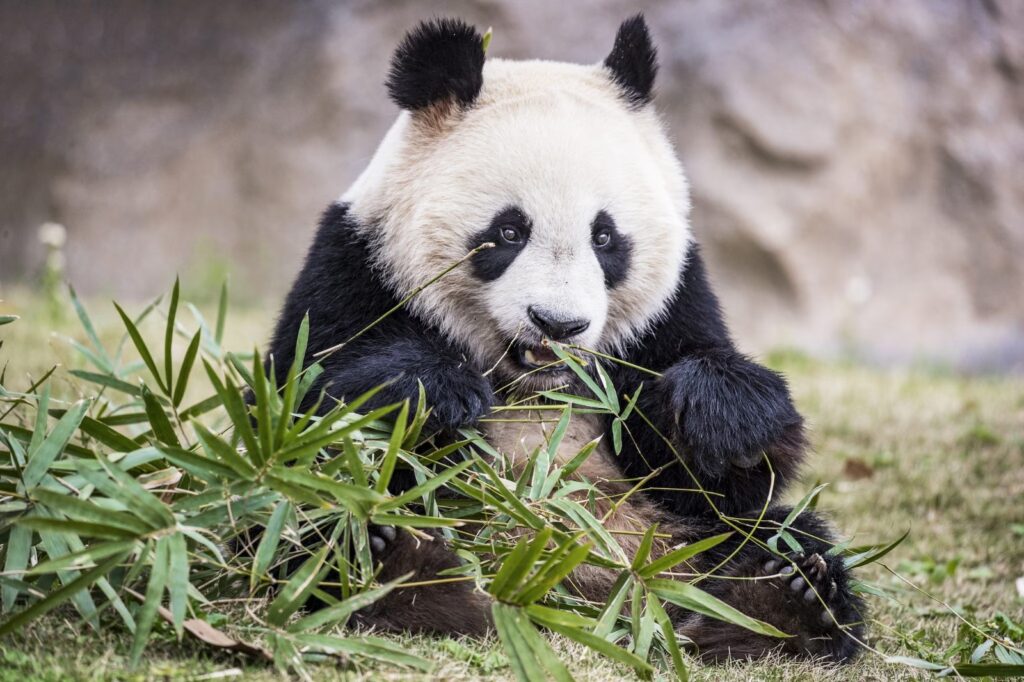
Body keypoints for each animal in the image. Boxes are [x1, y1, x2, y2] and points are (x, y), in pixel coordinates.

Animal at [268, 15, 864, 662]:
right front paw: (436, 391)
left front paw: (719, 414)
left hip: (683, 545)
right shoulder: (356, 267)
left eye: (605, 237)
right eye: (509, 231)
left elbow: (717, 479)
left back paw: (783, 600)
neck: (534, 384)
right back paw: (396, 568)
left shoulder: (672, 308)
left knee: (779, 537)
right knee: (316, 514)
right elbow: (303, 403)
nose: (557, 323)